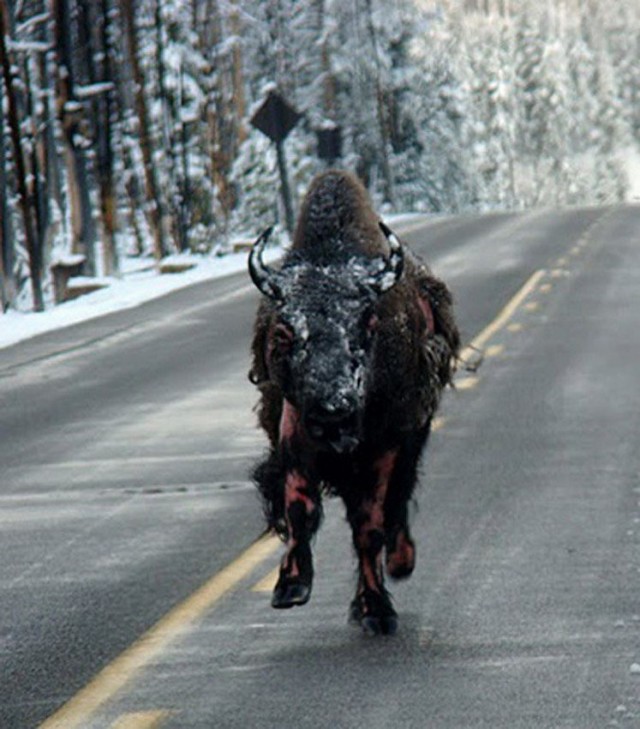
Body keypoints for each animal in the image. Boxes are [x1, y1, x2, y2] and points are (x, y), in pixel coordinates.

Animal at [248, 169, 458, 632]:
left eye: (368, 322)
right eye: (284, 332)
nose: (333, 410)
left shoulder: (387, 444)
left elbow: (370, 524)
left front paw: (376, 610)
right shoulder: (296, 428)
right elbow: (300, 505)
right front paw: (291, 587)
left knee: (395, 503)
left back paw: (401, 561)